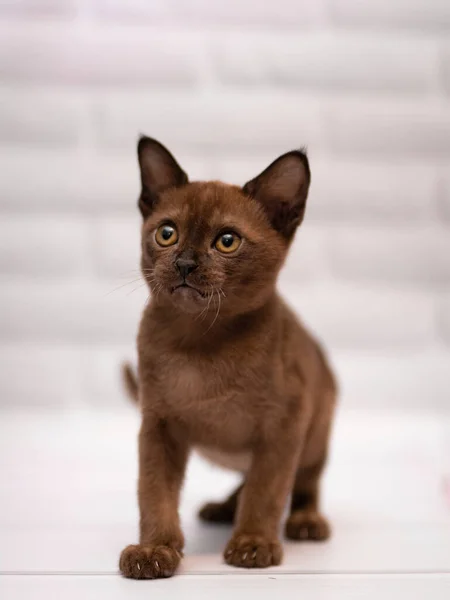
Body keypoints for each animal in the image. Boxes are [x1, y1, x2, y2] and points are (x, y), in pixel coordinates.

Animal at [118, 136, 336, 576]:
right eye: (166, 234)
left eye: (227, 240)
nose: (185, 263)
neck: (197, 344)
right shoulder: (158, 427)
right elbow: (154, 494)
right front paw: (154, 549)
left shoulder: (283, 426)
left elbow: (267, 490)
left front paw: (252, 542)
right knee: (246, 479)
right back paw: (222, 508)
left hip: (315, 434)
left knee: (303, 482)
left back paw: (304, 520)